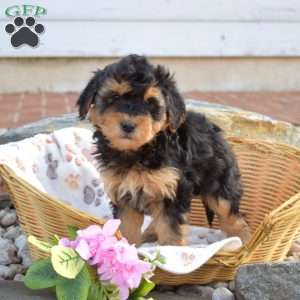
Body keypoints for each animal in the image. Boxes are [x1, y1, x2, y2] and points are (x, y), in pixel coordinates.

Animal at [77, 55, 251, 245]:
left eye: (150, 103)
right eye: (114, 96)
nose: (128, 126)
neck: (139, 151)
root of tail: (215, 131)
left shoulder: (172, 190)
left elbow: (170, 228)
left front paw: (170, 249)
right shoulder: (124, 193)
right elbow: (128, 226)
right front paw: (128, 246)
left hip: (219, 182)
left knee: (230, 213)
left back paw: (244, 240)